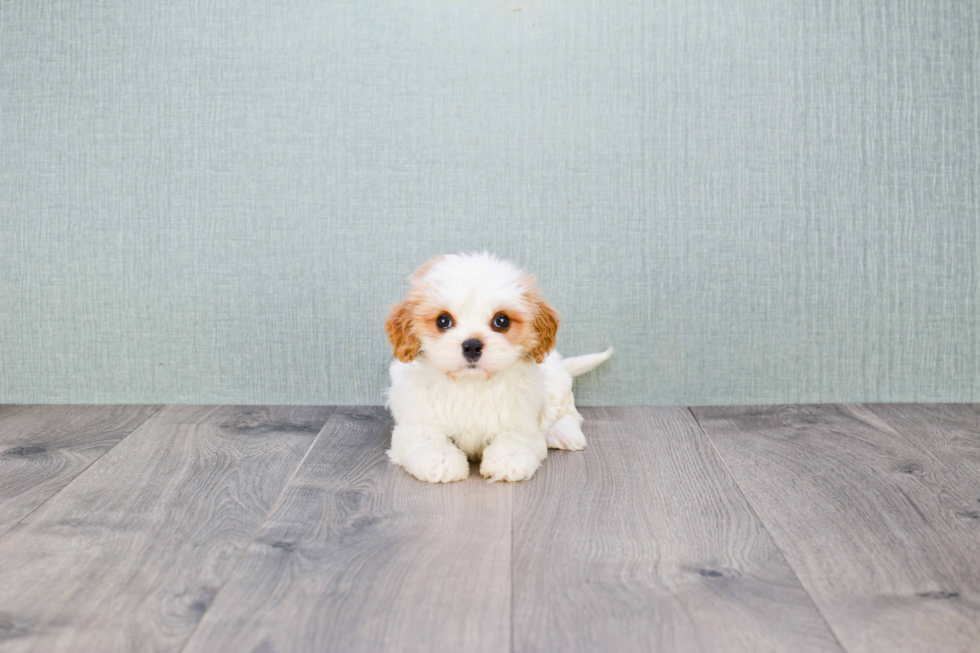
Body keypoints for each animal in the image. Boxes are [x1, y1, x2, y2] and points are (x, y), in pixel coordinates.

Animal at [384, 252, 608, 482]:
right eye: (443, 320)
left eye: (502, 320)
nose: (472, 346)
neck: (471, 384)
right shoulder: (418, 421)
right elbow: (427, 439)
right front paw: (442, 462)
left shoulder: (520, 418)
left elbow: (514, 438)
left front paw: (508, 461)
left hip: (556, 384)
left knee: (569, 414)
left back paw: (563, 433)